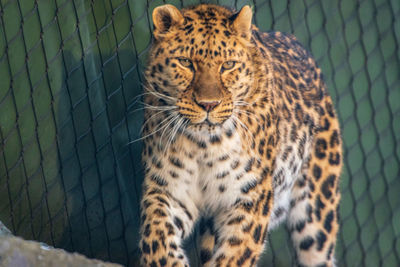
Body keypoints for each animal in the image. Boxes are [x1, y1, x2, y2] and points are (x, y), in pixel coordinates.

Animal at [139, 4, 342, 267]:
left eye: (228, 65)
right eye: (185, 62)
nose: (208, 104)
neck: (203, 146)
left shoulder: (251, 196)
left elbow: (235, 254)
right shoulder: (167, 189)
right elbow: (157, 237)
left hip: (317, 213)